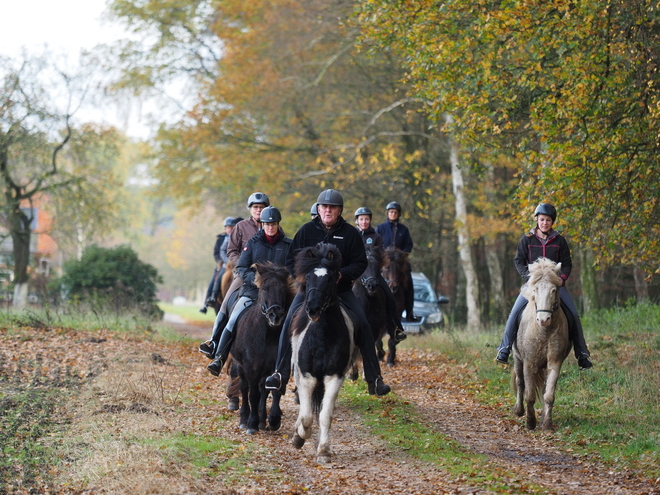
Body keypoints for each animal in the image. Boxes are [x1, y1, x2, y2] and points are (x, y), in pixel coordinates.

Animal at [231, 264, 296, 434]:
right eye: (265, 289)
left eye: (283, 289)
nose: (275, 315)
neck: (267, 334)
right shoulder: (251, 367)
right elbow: (253, 394)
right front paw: (252, 424)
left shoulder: (278, 366)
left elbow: (274, 390)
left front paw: (273, 420)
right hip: (240, 365)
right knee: (244, 387)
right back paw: (244, 419)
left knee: (262, 389)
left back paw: (262, 419)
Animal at [290, 244, 358, 464]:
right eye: (308, 277)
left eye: (329, 279)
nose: (313, 309)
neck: (322, 336)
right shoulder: (306, 377)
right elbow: (307, 416)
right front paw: (299, 437)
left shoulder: (334, 377)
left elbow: (325, 415)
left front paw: (324, 451)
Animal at [510, 258, 572, 432]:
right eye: (535, 289)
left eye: (554, 290)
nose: (543, 319)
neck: (544, 331)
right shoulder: (529, 363)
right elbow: (529, 395)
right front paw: (530, 422)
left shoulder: (555, 362)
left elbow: (549, 395)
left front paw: (547, 424)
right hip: (517, 358)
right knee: (520, 382)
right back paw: (519, 410)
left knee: (544, 388)